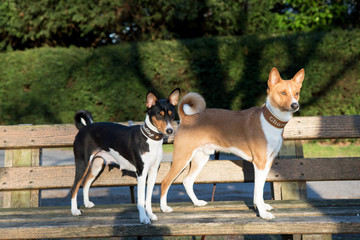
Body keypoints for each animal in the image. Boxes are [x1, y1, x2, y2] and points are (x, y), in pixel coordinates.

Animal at [70, 87, 180, 223]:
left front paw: (150, 215)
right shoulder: (141, 173)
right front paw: (144, 218)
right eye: (159, 114)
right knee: (74, 187)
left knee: (85, 183)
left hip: (96, 165)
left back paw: (86, 204)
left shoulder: (153, 172)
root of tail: (84, 128)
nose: (170, 130)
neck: (150, 139)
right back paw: (74, 211)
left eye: (172, 115)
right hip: (82, 163)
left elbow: (148, 199)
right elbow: (141, 200)